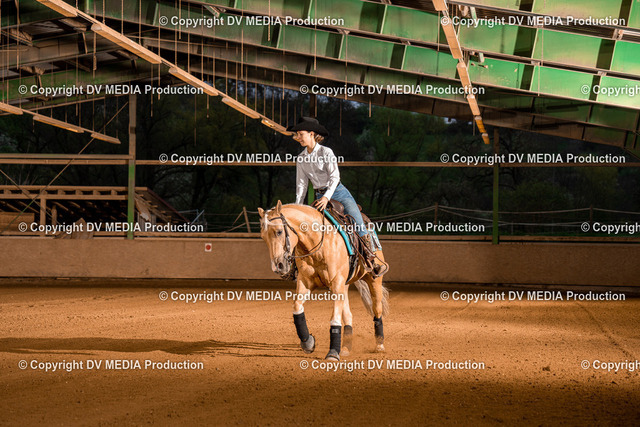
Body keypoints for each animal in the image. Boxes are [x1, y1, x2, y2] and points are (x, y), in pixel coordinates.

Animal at [258, 200, 389, 361]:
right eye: (263, 237)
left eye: (279, 232)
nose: (278, 266)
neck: (318, 242)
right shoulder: (305, 281)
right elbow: (297, 308)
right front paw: (308, 343)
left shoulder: (336, 283)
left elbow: (335, 318)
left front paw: (332, 352)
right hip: (345, 285)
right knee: (348, 314)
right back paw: (346, 347)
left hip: (374, 280)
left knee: (377, 310)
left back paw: (379, 345)